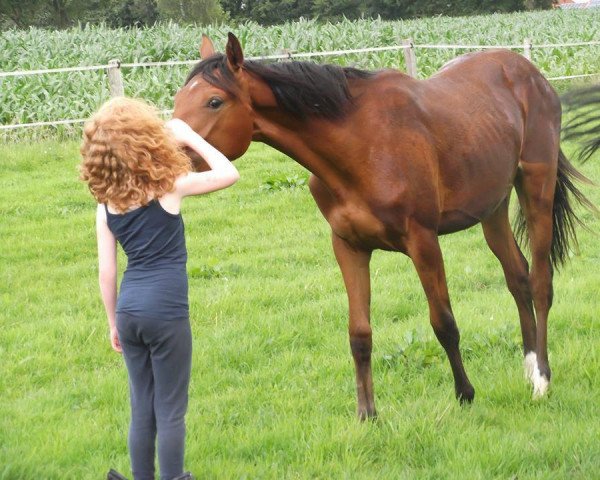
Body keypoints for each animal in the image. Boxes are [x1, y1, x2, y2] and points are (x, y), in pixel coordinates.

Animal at [173, 32, 596, 420]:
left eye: (214, 101)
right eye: (177, 100)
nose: (168, 156)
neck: (359, 145)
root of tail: (531, 74)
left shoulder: (423, 242)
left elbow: (443, 322)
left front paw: (465, 394)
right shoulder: (348, 246)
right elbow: (359, 334)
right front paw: (367, 414)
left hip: (536, 187)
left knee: (540, 282)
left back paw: (542, 379)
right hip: (492, 207)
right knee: (517, 277)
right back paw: (529, 367)